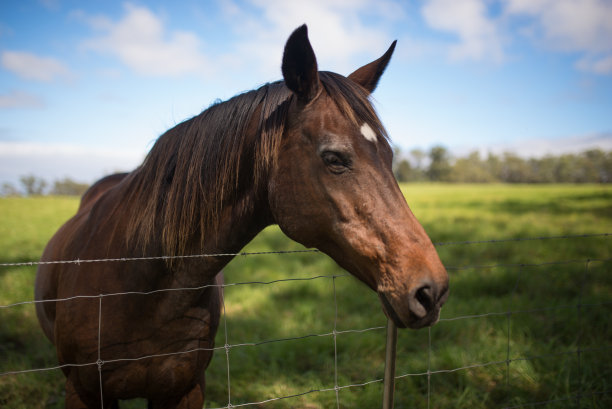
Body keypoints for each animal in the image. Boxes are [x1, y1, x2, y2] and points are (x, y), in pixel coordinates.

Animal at [35, 25, 450, 408]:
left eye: (390, 156)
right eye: (334, 158)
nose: (432, 291)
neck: (140, 282)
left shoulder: (184, 390)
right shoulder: (84, 392)